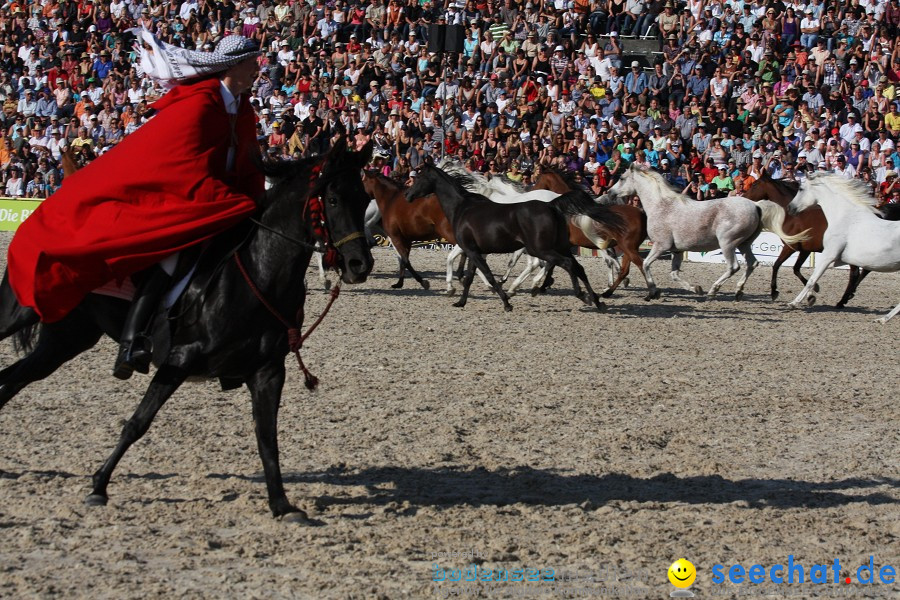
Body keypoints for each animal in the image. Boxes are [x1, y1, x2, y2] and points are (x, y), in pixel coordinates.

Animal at [0, 137, 374, 520]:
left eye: (363, 198)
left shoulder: (268, 371)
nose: (360, 264)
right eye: (332, 199)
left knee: (12, 380)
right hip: (20, 316)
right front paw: (99, 486)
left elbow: (267, 438)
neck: (257, 275)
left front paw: (282, 505)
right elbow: (138, 422)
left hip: (65, 342)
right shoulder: (177, 360)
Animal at [404, 165, 624, 314]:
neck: (463, 207)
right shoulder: (474, 251)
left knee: (568, 264)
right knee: (578, 267)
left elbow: (488, 275)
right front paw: (461, 301)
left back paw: (582, 295)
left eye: (420, 177)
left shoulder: (470, 250)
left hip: (541, 249)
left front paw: (506, 302)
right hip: (559, 246)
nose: (407, 195)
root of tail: (552, 204)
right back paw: (597, 300)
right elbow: (469, 278)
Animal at [532, 168, 652, 298]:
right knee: (625, 269)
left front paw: (543, 284)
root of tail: (642, 214)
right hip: (629, 248)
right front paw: (545, 284)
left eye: (538, 179)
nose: (531, 190)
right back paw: (609, 291)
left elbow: (552, 264)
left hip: (627, 247)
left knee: (638, 265)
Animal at [604, 164, 808, 300]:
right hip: (744, 244)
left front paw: (653, 292)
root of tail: (756, 205)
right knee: (752, 263)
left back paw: (714, 290)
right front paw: (696, 289)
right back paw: (738, 291)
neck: (661, 206)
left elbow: (645, 264)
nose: (609, 192)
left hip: (728, 243)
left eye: (621, 178)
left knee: (734, 266)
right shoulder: (677, 250)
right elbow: (674, 274)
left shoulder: (661, 246)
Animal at [784, 173, 900, 322]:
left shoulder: (829, 255)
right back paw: (883, 319)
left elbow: (812, 279)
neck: (845, 217)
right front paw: (811, 297)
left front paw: (793, 303)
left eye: (801, 189)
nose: (790, 208)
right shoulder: (839, 260)